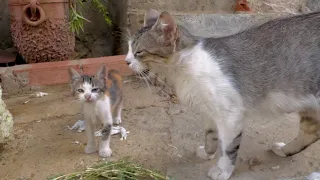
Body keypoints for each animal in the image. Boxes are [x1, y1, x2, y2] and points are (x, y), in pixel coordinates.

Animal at [124, 9, 320, 180]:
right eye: (128, 49)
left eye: (139, 52)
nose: (126, 61)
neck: (185, 70)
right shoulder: (209, 111)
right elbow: (211, 136)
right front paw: (207, 153)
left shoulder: (230, 114)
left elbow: (228, 148)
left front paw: (222, 170)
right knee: (310, 133)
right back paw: (284, 150)